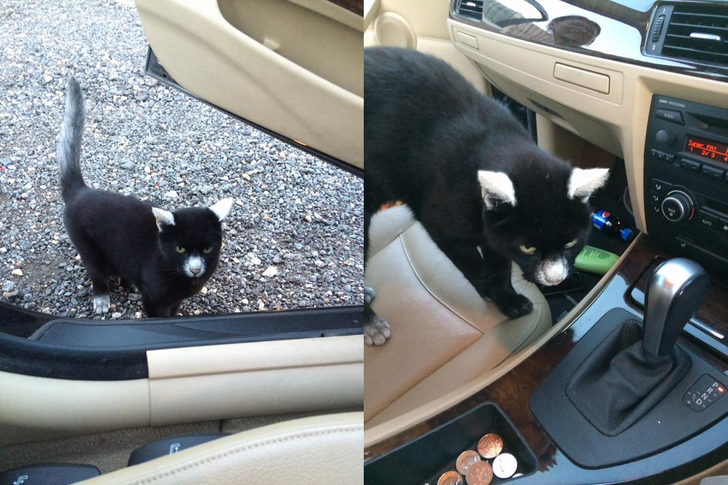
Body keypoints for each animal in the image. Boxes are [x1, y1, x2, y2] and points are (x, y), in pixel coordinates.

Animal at [57, 76, 233, 318]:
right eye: (180, 249)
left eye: (207, 249)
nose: (196, 269)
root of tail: (81, 191)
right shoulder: (152, 298)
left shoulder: (175, 300)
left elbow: (173, 312)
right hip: (90, 250)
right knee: (97, 274)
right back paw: (101, 297)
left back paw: (128, 284)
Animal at [364, 47, 608, 344]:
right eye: (528, 248)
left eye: (571, 242)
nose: (555, 279)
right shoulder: (438, 222)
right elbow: (472, 264)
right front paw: (489, 291)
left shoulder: (493, 230)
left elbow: (499, 264)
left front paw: (508, 299)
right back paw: (370, 322)